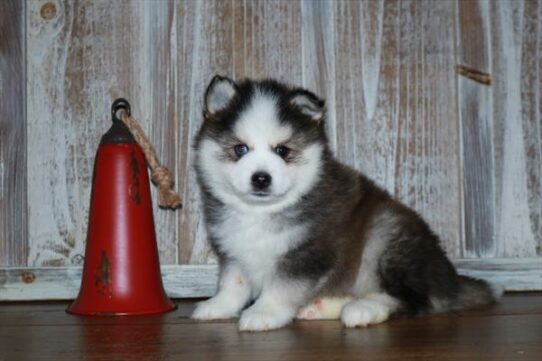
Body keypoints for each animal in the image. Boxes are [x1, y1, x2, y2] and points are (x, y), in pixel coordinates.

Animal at [192, 74, 506, 330]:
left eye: (282, 150)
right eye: (240, 149)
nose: (260, 178)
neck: (260, 212)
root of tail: (450, 280)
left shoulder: (309, 253)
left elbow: (283, 287)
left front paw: (264, 312)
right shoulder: (233, 250)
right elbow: (232, 283)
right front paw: (217, 306)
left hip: (385, 234)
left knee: (414, 299)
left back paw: (364, 308)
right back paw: (322, 307)